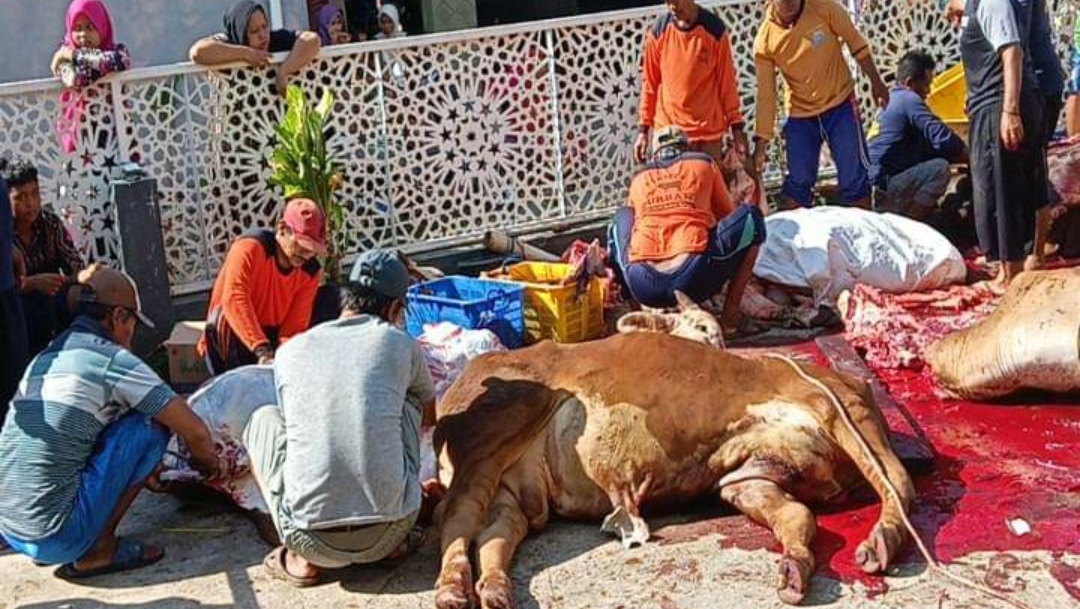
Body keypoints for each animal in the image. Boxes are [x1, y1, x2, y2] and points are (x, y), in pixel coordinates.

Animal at [429, 332, 911, 609]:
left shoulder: (752, 475)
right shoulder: (834, 402)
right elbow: (899, 483)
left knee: (495, 529)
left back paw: (493, 590)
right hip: (503, 416)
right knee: (457, 514)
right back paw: (453, 590)